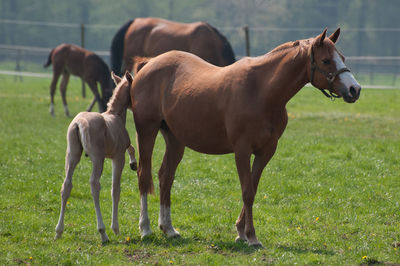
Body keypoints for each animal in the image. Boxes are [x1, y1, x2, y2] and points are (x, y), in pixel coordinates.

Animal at [132, 28, 362, 246]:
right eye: (326, 60)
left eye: (342, 57)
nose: (355, 89)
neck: (261, 91)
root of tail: (149, 64)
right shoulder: (242, 150)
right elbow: (247, 192)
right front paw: (251, 236)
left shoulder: (266, 151)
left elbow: (253, 187)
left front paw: (240, 232)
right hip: (147, 131)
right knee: (144, 175)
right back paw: (145, 228)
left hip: (175, 140)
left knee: (166, 176)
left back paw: (168, 228)